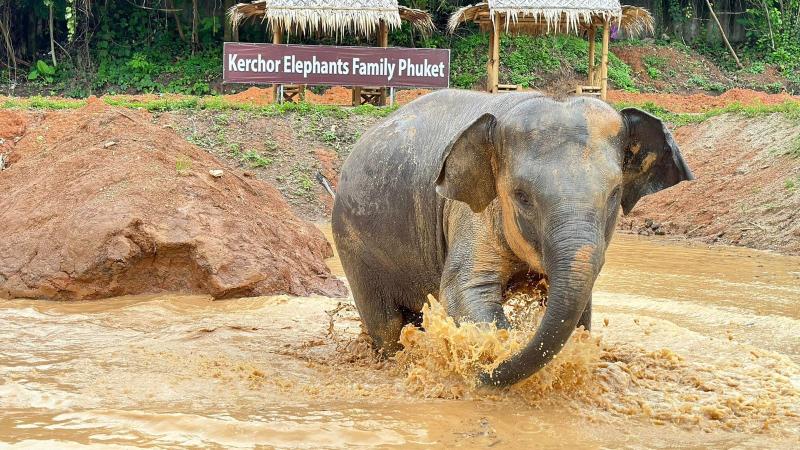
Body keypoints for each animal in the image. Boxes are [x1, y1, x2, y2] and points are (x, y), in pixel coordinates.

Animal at [331, 89, 692, 387]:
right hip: (354, 246)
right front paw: (494, 350)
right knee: (387, 325)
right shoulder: (469, 210)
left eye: (615, 194)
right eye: (521, 196)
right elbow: (463, 290)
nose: (479, 375)